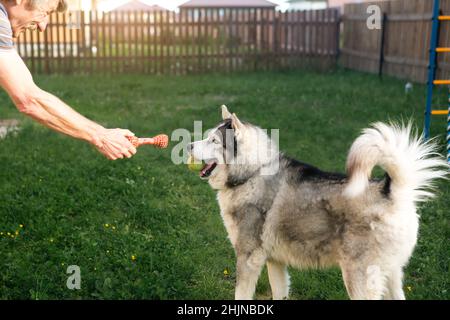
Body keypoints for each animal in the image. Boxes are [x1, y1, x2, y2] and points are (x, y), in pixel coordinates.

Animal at [187, 105, 446, 300]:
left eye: (213, 140)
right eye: (207, 136)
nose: (188, 145)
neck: (252, 172)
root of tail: (390, 191)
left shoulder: (248, 259)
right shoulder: (275, 261)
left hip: (358, 278)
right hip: (391, 276)